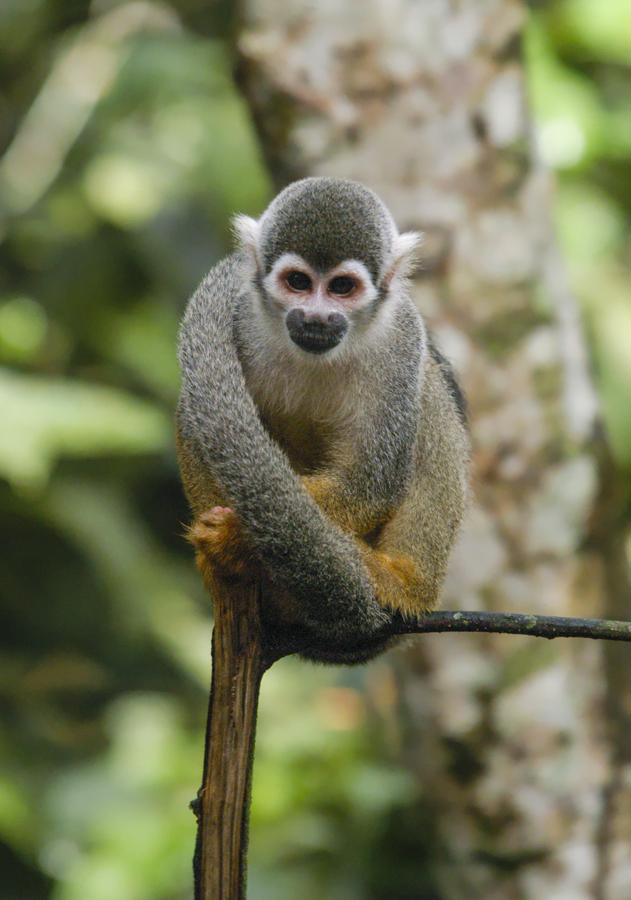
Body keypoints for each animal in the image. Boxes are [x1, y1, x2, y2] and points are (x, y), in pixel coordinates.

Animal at [175, 179, 472, 664]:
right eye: (298, 282)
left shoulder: (402, 339)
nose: (316, 317)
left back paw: (401, 579)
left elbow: (369, 484)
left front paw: (236, 538)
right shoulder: (242, 319)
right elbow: (195, 419)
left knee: (429, 394)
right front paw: (219, 559)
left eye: (342, 287)